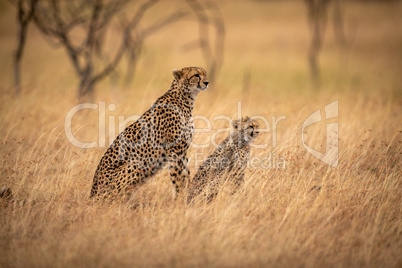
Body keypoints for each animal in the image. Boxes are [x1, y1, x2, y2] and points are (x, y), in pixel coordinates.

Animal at [91, 66, 209, 198]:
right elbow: (178, 177)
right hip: (135, 164)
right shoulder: (175, 151)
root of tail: (92, 194)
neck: (186, 98)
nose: (206, 82)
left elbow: (185, 174)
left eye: (205, 74)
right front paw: (181, 198)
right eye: (196, 75)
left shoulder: (182, 151)